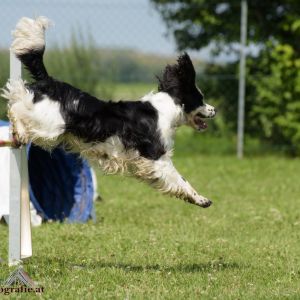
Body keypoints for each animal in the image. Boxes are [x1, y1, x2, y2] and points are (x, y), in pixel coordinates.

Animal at [1, 17, 214, 209]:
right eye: (201, 99)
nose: (214, 110)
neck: (165, 109)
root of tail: (49, 81)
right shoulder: (157, 157)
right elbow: (181, 179)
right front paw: (201, 199)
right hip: (50, 126)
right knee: (16, 104)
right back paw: (19, 131)